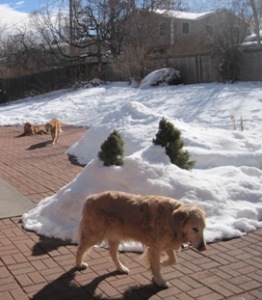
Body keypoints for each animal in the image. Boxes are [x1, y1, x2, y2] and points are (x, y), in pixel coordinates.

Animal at [75, 191, 207, 288]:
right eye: (195, 229)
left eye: (203, 228)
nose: (203, 247)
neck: (172, 219)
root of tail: (89, 198)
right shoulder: (156, 248)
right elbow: (157, 266)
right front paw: (160, 280)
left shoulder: (166, 245)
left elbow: (172, 260)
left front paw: (158, 266)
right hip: (94, 235)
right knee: (80, 248)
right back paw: (79, 264)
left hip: (115, 236)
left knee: (112, 253)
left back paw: (121, 268)